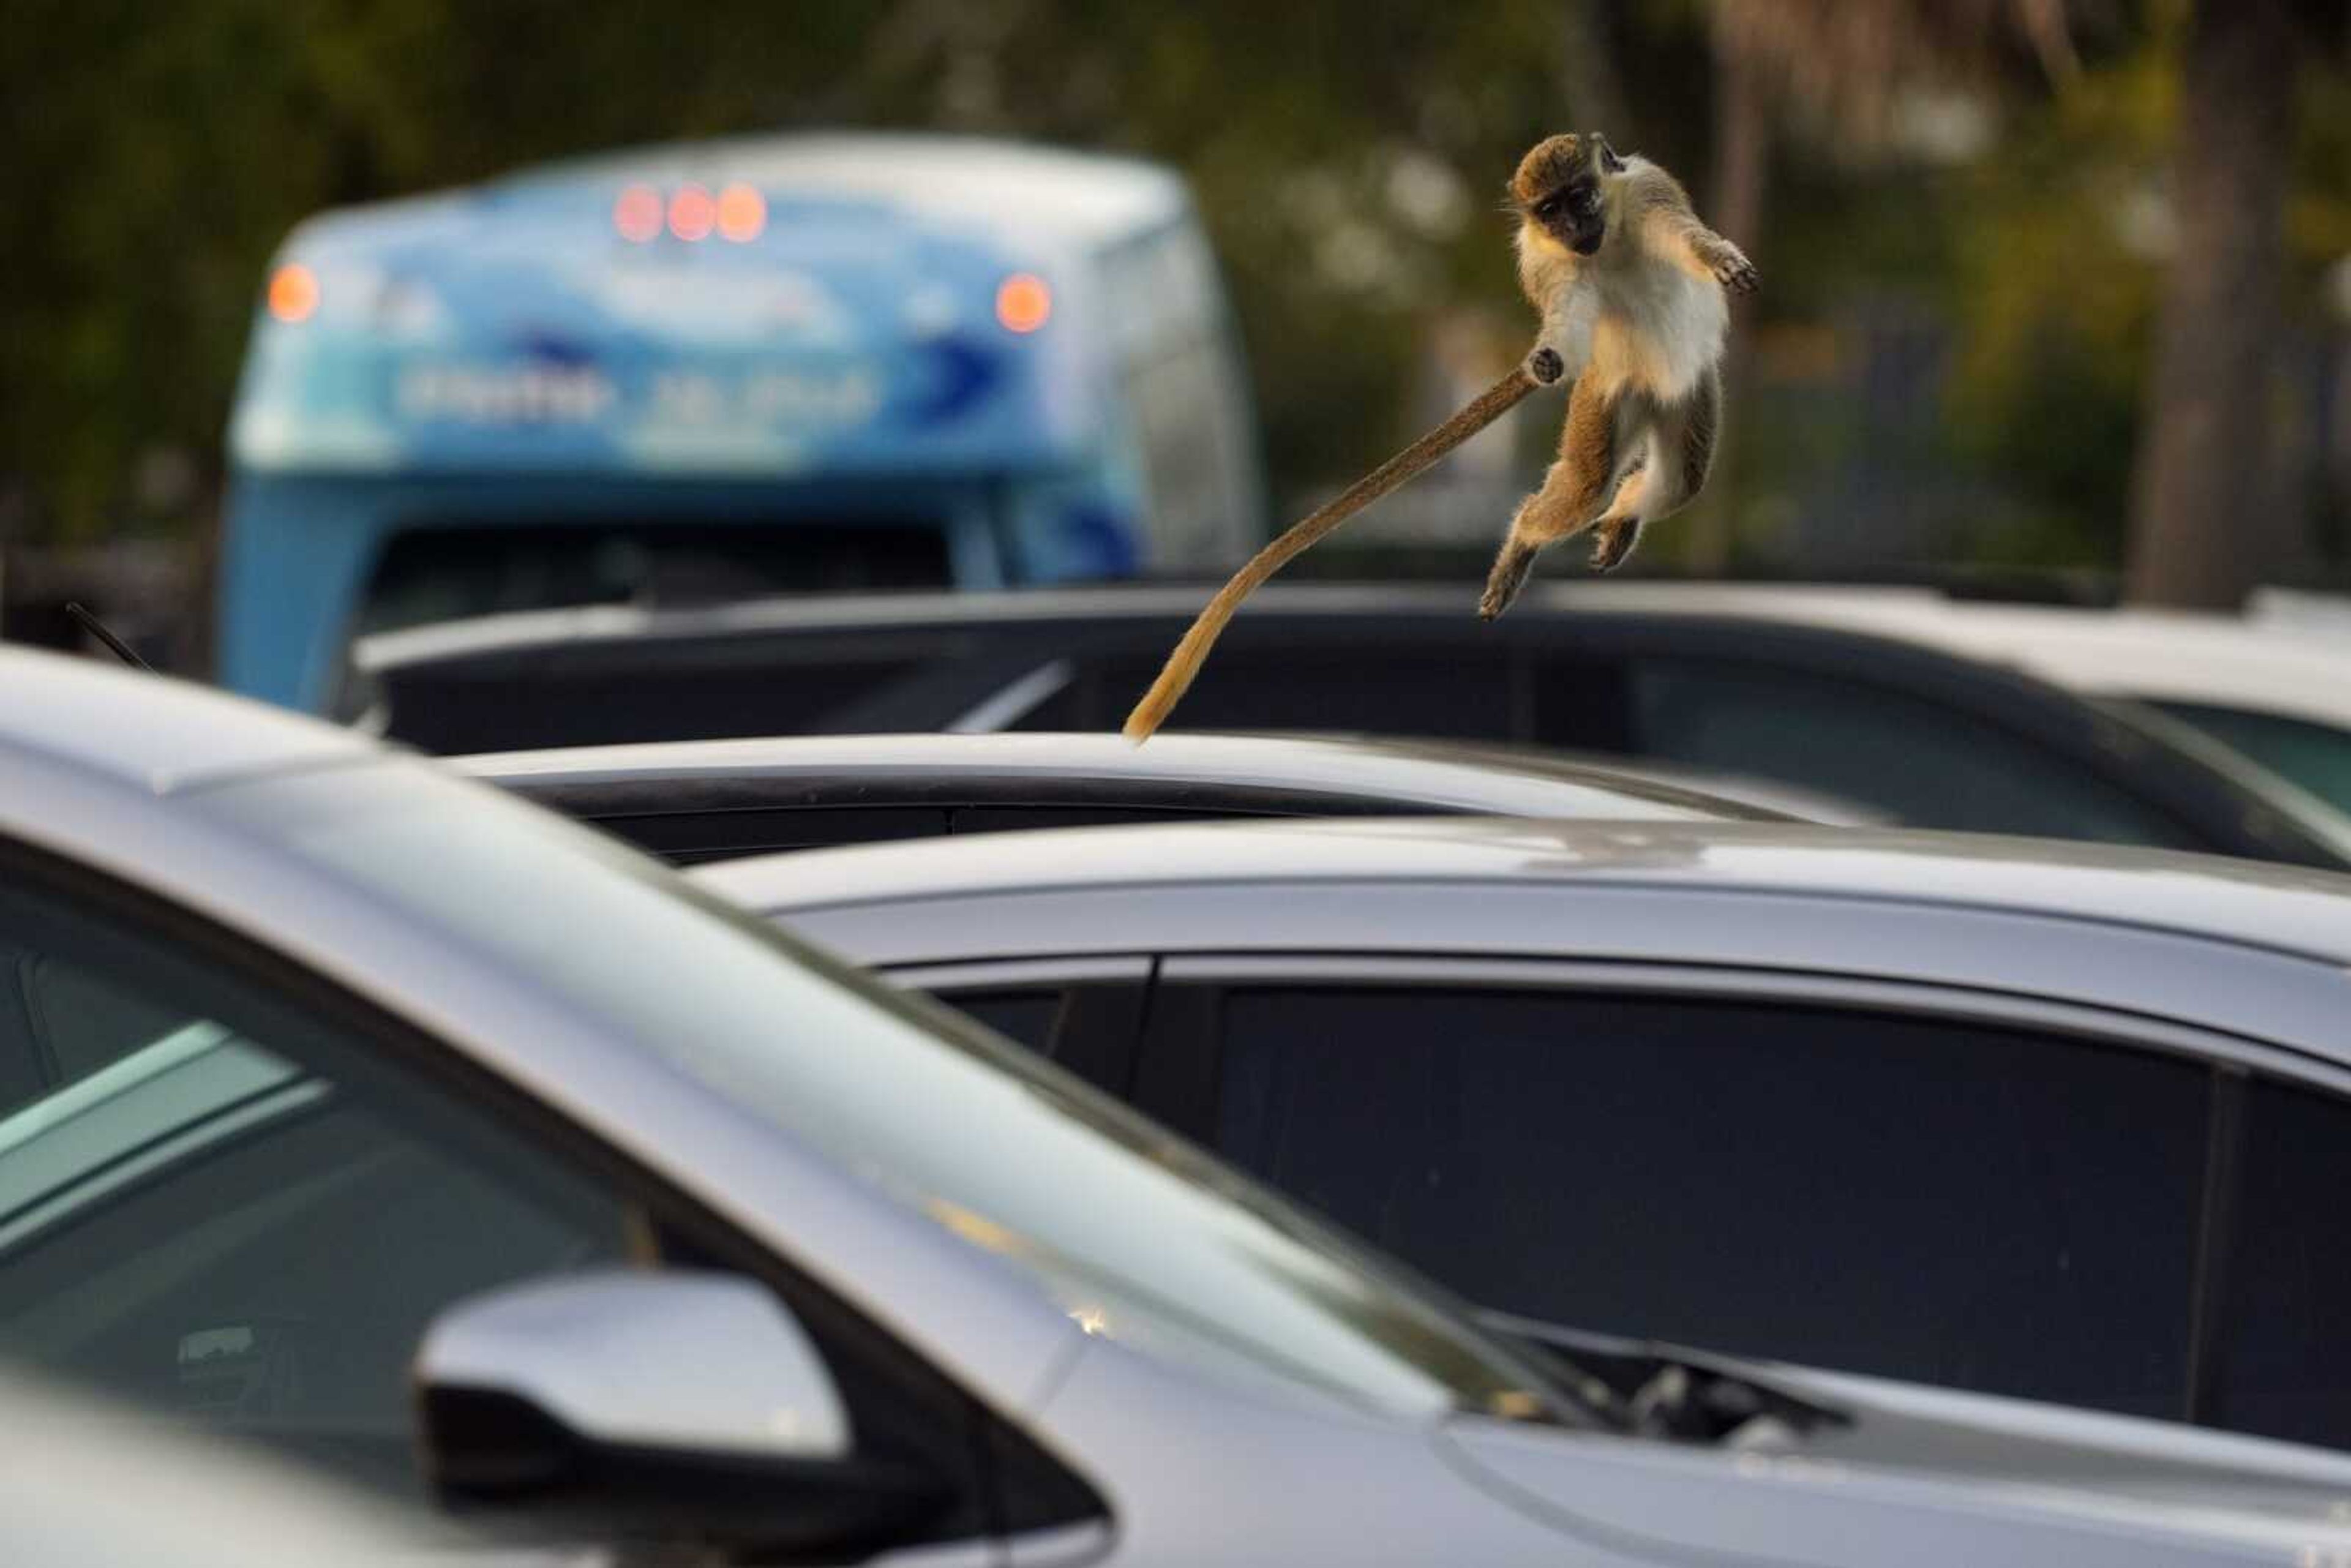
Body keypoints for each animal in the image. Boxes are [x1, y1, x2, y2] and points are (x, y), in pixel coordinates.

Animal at [1476, 130, 1758, 620]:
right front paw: (1546, 358)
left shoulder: (1649, 189)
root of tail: (1649, 391)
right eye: (1549, 211)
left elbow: (1682, 236)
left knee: (1680, 480)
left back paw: (1625, 512)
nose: (1571, 227)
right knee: (1590, 485)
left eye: (1579, 197)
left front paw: (1717, 255)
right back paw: (1525, 537)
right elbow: (1567, 316)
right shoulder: (1542, 258)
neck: (1607, 238)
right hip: (1606, 392)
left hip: (1687, 392)